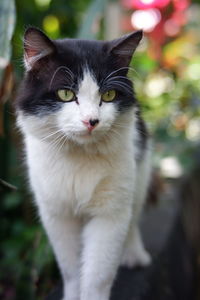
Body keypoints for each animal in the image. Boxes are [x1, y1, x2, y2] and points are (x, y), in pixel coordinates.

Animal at [16, 27, 152, 300]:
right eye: (66, 94)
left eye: (108, 95)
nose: (92, 121)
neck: (79, 154)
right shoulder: (57, 215)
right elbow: (70, 271)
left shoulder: (109, 214)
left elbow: (97, 277)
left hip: (140, 175)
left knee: (133, 218)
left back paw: (134, 254)